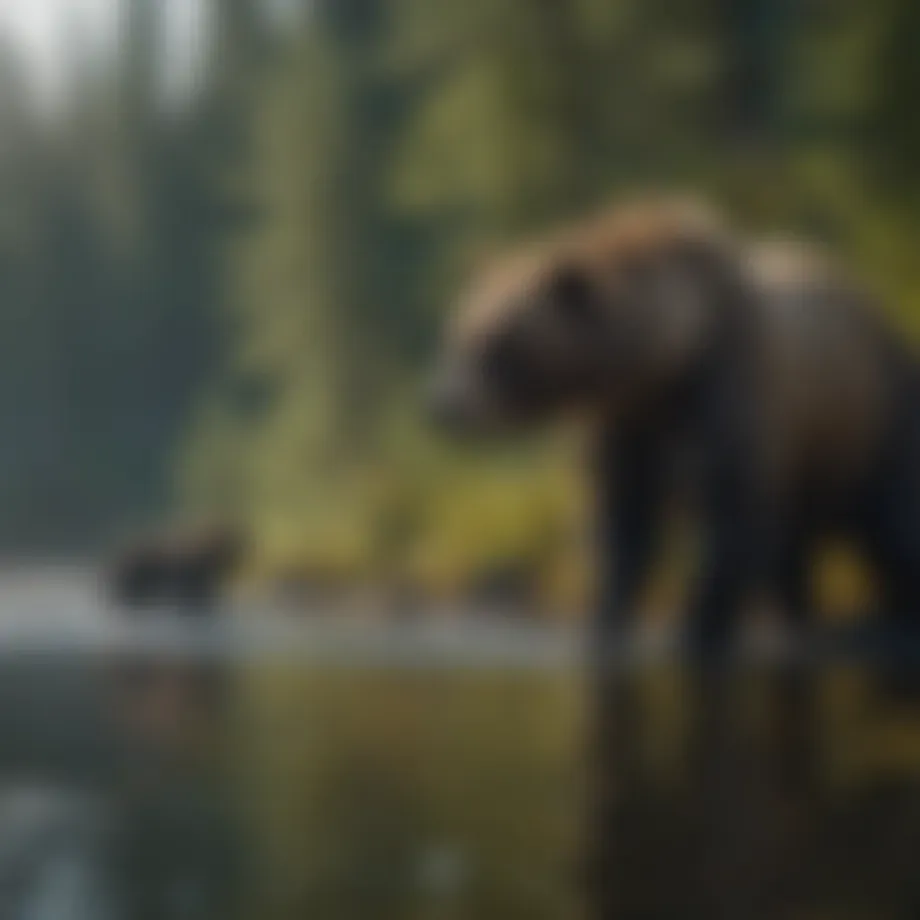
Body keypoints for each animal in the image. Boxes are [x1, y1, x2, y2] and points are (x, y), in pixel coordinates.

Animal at [428, 197, 920, 657]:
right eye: (458, 332)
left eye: (496, 342)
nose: (441, 405)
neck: (664, 364)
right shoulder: (624, 424)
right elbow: (621, 522)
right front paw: (606, 622)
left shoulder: (725, 391)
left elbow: (729, 515)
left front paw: (698, 629)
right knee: (792, 554)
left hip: (874, 419)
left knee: (892, 525)